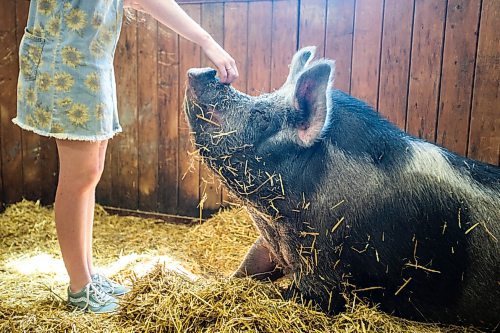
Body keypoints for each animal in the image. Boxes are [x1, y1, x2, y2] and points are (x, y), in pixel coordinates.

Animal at [184, 47, 500, 330]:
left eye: (262, 117)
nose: (205, 71)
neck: (276, 223)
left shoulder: (323, 266)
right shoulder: (271, 244)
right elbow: (248, 266)